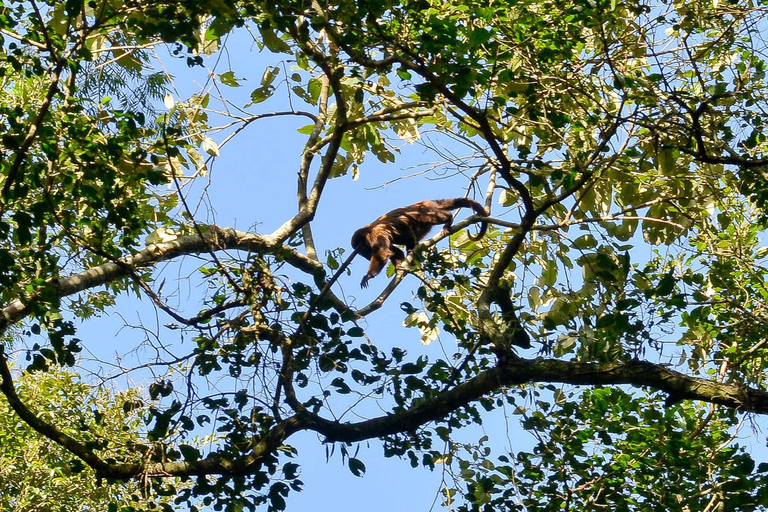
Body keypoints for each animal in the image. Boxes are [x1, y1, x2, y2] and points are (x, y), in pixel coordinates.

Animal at [352, 197, 488, 288]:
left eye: (363, 250)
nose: (367, 256)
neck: (369, 230)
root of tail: (426, 202)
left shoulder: (376, 234)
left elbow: (383, 252)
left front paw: (368, 276)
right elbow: (394, 250)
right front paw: (399, 267)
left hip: (426, 210)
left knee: (428, 217)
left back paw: (448, 219)